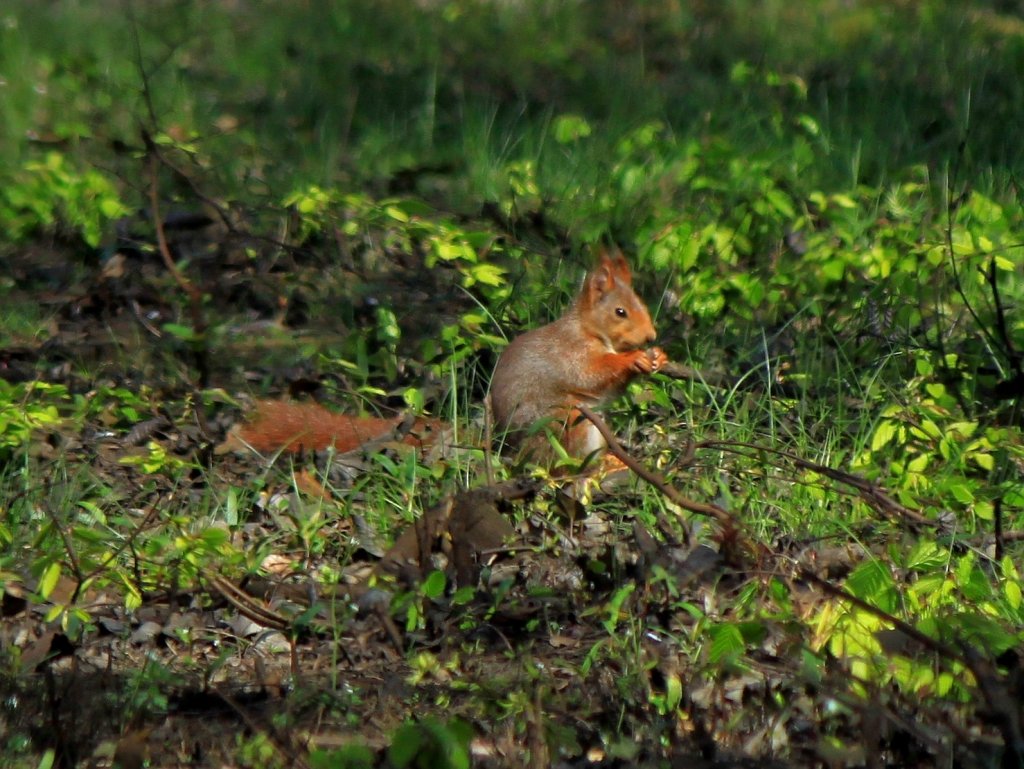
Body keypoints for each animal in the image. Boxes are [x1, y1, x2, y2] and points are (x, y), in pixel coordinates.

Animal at [225, 250, 667, 462]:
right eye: (620, 312)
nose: (651, 335)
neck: (589, 330)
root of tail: (502, 447)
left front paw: (656, 356)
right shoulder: (571, 353)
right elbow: (590, 374)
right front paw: (632, 360)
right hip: (566, 422)